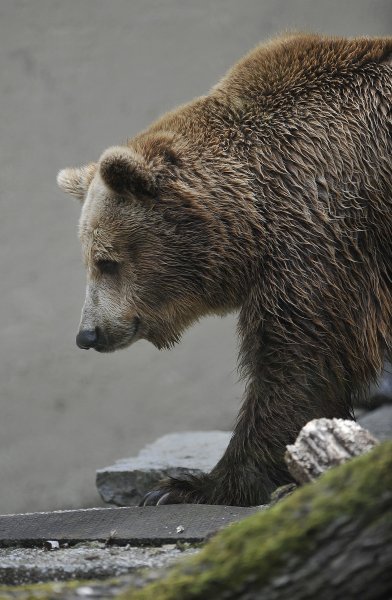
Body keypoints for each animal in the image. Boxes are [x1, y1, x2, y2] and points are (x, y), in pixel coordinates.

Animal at [56, 34, 390, 506]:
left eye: (107, 262)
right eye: (89, 261)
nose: (87, 334)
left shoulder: (320, 234)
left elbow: (300, 355)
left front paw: (186, 486)